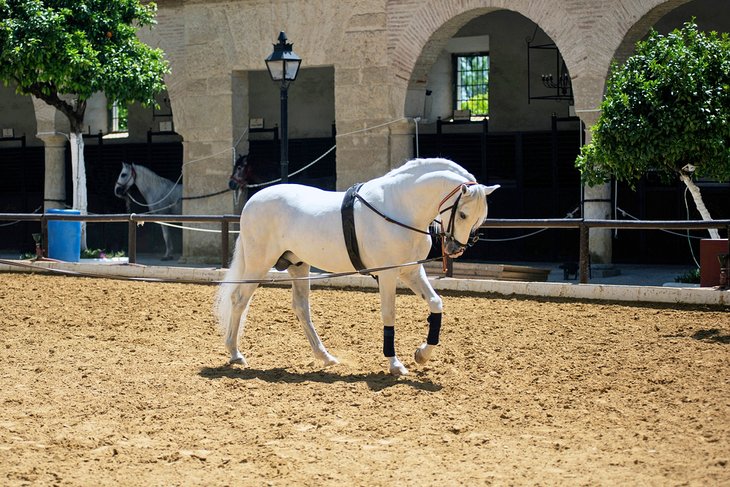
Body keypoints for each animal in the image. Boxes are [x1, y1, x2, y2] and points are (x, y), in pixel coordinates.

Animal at [213, 159, 498, 378]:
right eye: (462, 214)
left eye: (478, 218)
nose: (455, 248)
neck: (398, 207)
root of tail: (253, 201)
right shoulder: (388, 273)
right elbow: (389, 314)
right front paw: (395, 364)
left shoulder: (411, 271)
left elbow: (436, 303)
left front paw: (422, 355)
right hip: (259, 264)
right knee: (239, 300)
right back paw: (235, 354)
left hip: (297, 264)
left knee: (301, 308)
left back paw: (325, 357)